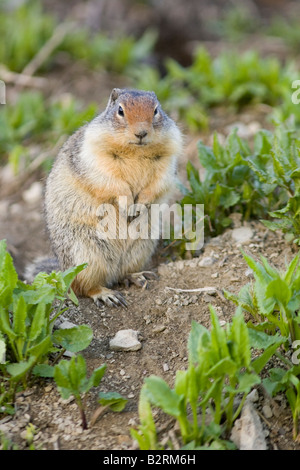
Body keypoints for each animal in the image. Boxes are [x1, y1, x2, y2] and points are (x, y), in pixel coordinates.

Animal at [27, 88, 183, 308]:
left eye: (156, 110)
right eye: (120, 111)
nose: (141, 133)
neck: (136, 150)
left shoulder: (168, 159)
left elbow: (158, 183)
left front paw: (140, 205)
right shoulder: (96, 156)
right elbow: (113, 181)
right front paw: (128, 205)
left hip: (141, 247)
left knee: (120, 274)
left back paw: (138, 276)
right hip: (85, 255)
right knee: (83, 287)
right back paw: (106, 294)